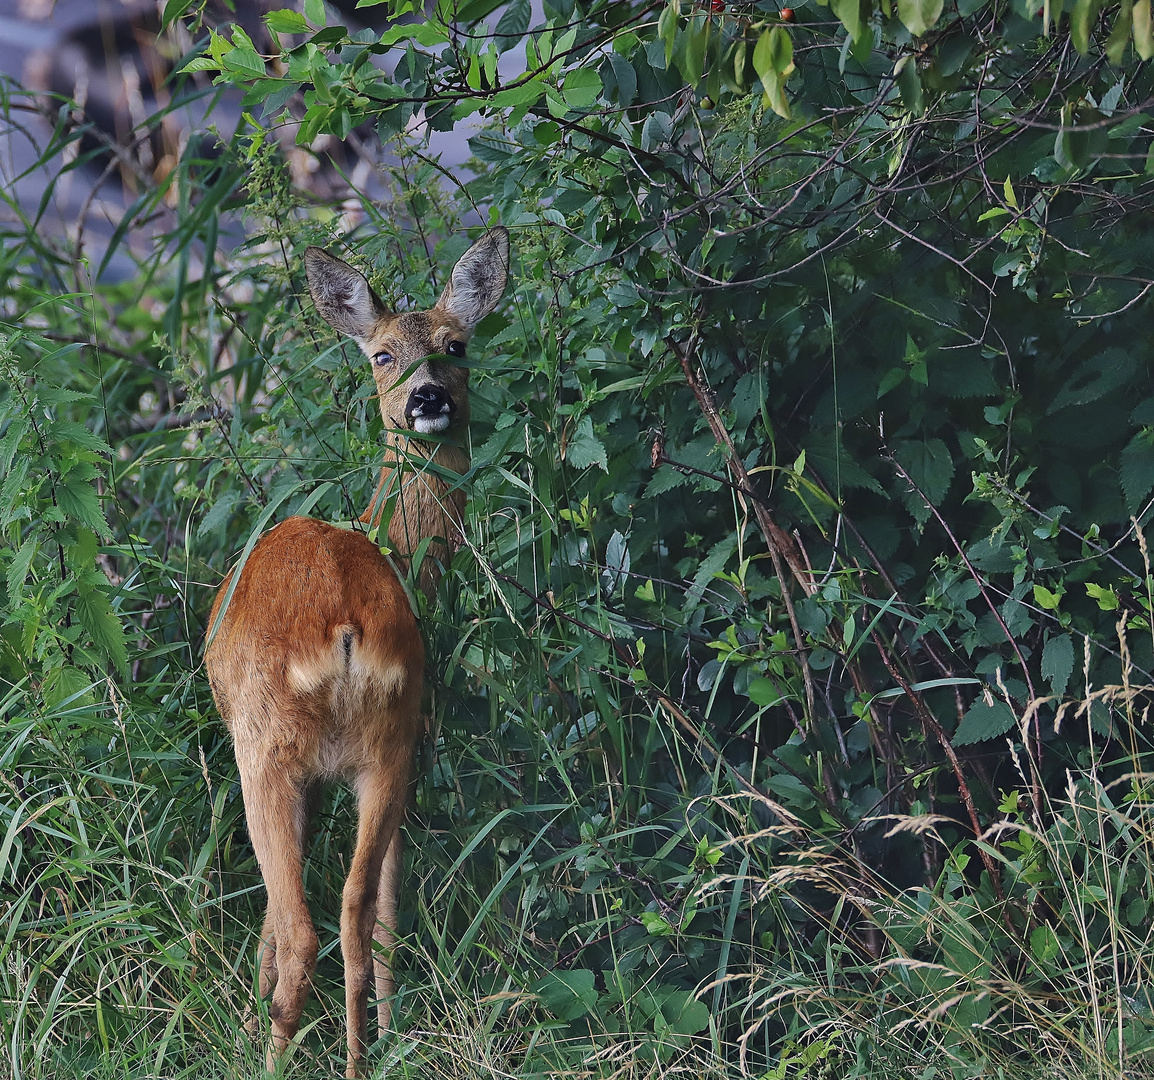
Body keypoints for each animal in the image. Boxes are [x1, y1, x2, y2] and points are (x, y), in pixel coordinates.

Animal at [204, 223, 510, 1075]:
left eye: (457, 345)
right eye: (381, 354)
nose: (428, 397)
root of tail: (343, 629)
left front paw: (251, 1020)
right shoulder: (402, 749)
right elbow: (385, 906)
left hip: (267, 749)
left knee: (306, 927)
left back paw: (274, 1052)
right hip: (388, 744)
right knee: (359, 908)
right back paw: (366, 1051)